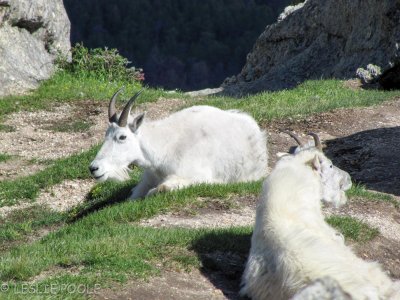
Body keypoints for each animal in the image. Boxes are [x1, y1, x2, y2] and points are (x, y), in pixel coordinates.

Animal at [89, 87, 268, 199]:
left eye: (122, 137)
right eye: (106, 134)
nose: (94, 168)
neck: (163, 149)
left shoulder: (195, 175)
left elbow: (160, 189)